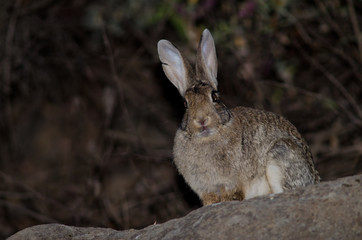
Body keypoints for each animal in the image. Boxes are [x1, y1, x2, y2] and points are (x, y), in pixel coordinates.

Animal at [156, 28, 320, 204]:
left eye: (215, 97)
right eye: (185, 104)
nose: (201, 120)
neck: (208, 137)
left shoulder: (232, 183)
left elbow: (233, 194)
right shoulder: (205, 189)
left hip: (281, 154)